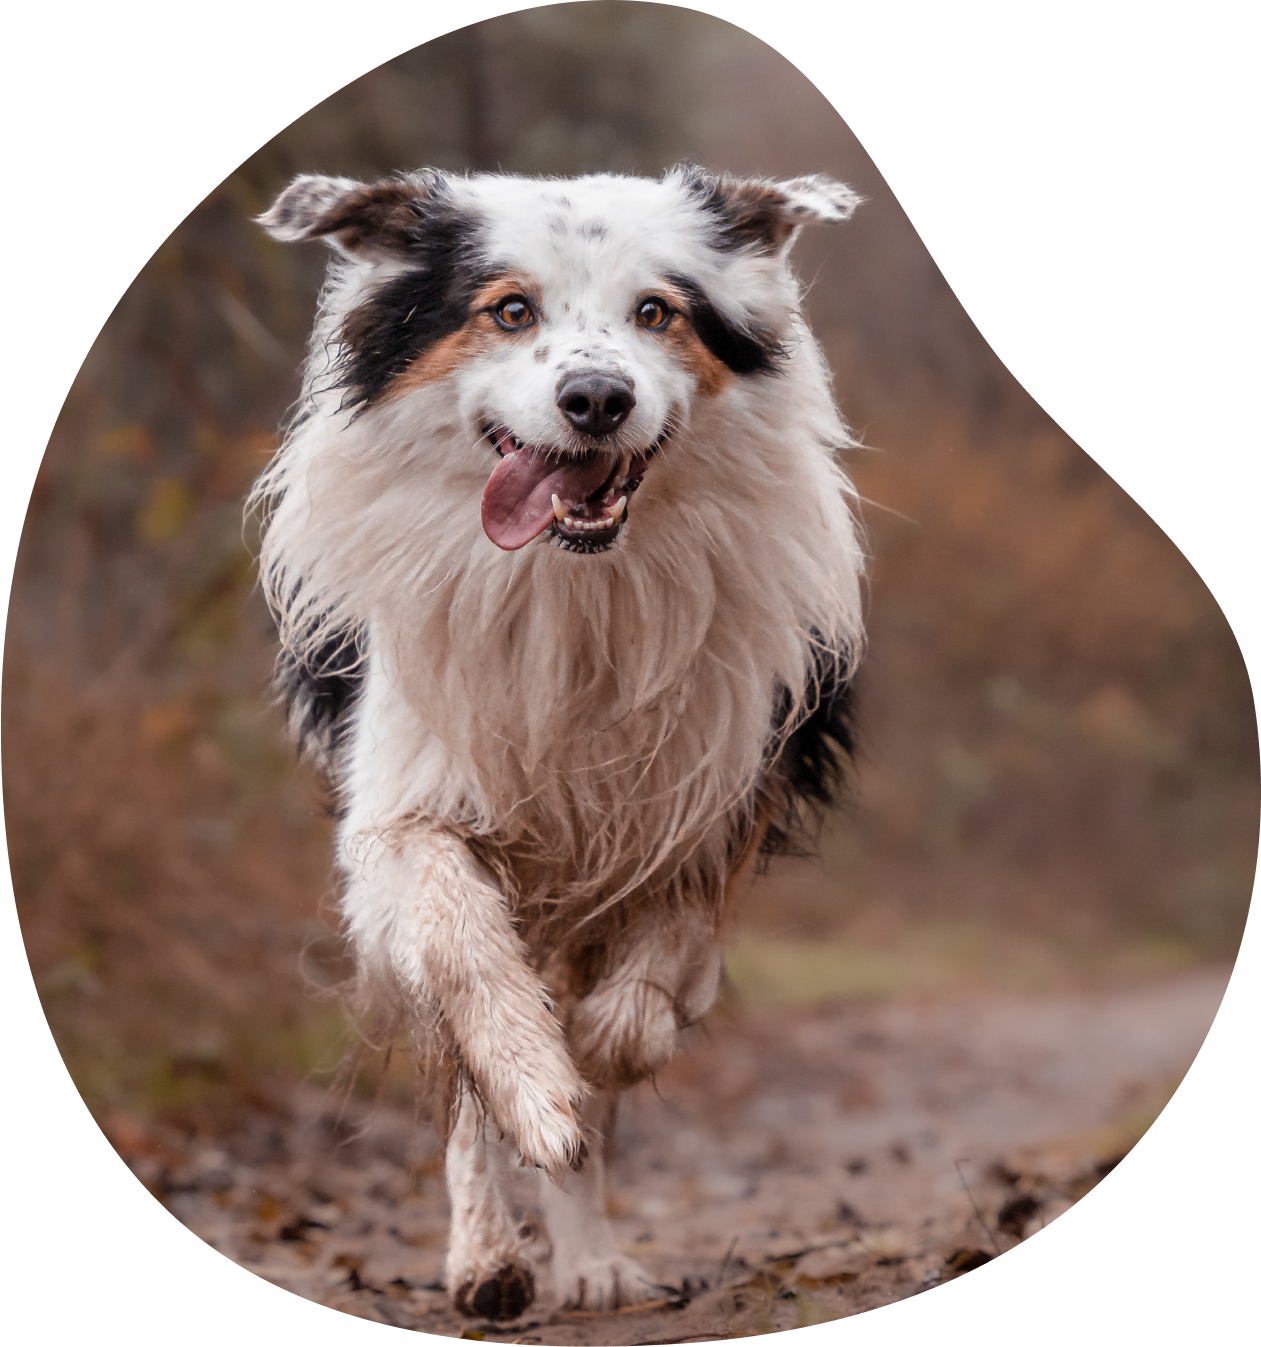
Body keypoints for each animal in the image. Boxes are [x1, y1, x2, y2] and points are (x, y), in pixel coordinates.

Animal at [253, 162, 867, 1320]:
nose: (595, 399)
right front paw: (537, 1091)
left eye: (656, 313)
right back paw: (488, 1257)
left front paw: (587, 1071)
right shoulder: (401, 816)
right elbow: (469, 970)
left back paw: (585, 1259)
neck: (572, 588)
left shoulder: (713, 798)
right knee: (460, 1066)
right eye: (509, 312)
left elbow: (641, 1004)